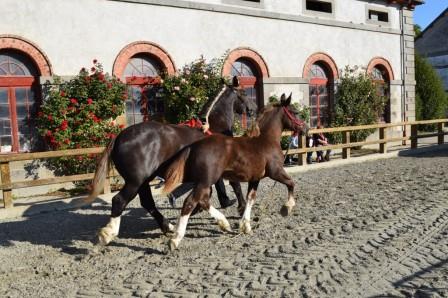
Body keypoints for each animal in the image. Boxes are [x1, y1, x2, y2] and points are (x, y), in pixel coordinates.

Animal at [83, 77, 256, 247]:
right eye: (243, 93)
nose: (253, 109)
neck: (214, 127)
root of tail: (118, 138)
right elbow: (234, 186)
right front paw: (239, 208)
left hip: (143, 182)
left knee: (147, 203)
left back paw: (168, 227)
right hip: (135, 182)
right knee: (119, 201)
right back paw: (109, 233)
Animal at [162, 93, 308, 249]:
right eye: (295, 112)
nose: (306, 128)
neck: (266, 140)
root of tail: (193, 146)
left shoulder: (255, 178)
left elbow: (251, 198)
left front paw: (246, 226)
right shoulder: (276, 172)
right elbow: (291, 183)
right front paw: (287, 208)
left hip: (203, 181)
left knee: (202, 200)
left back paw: (224, 224)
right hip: (206, 180)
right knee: (190, 202)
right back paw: (175, 239)